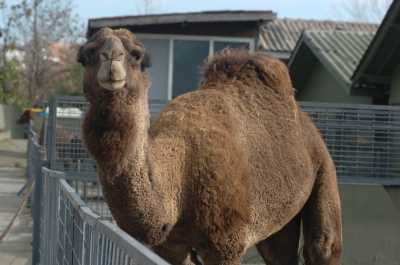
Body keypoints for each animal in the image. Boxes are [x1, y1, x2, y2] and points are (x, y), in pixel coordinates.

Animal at [79, 27, 344, 264]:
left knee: (323, 245)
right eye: (86, 55)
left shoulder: (226, 243)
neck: (180, 175)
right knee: (279, 252)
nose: (111, 57)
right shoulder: (170, 245)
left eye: (136, 55)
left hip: (324, 171)